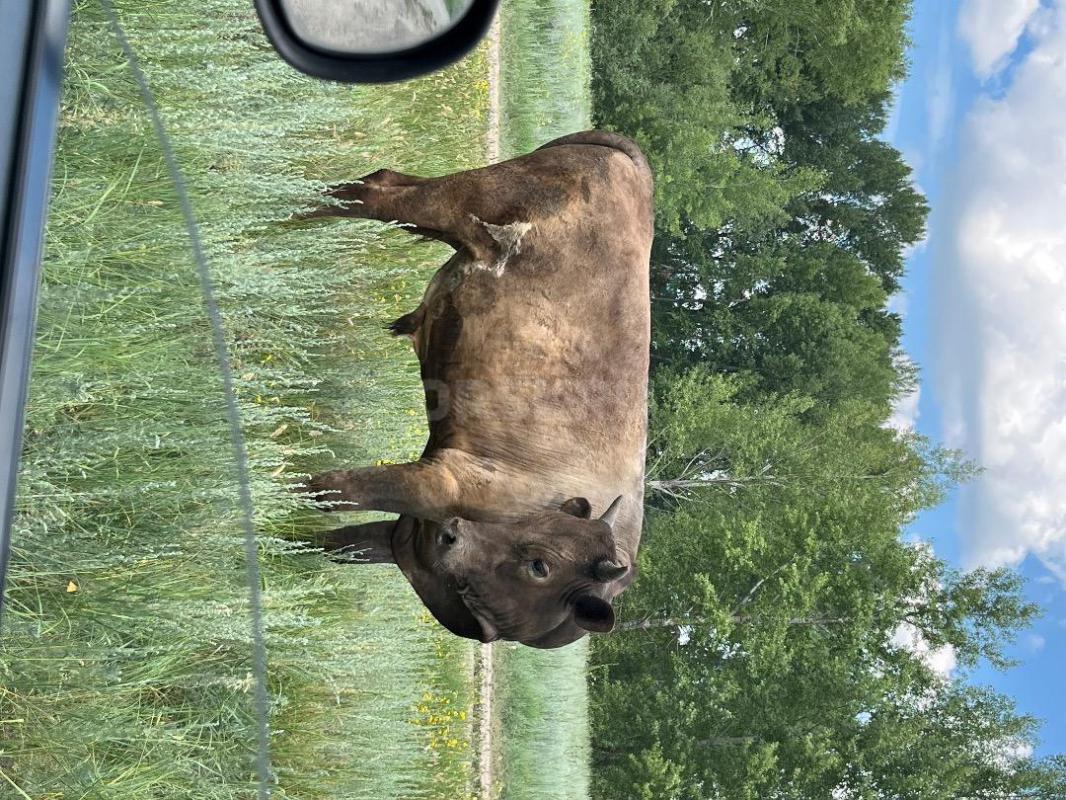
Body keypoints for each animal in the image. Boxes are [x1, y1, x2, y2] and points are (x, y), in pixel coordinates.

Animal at [299, 130, 653, 649]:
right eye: (540, 565)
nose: (451, 537)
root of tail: (632, 164)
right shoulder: (438, 482)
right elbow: (333, 490)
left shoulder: (402, 539)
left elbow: (328, 544)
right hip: (460, 207)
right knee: (372, 195)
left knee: (379, 186)